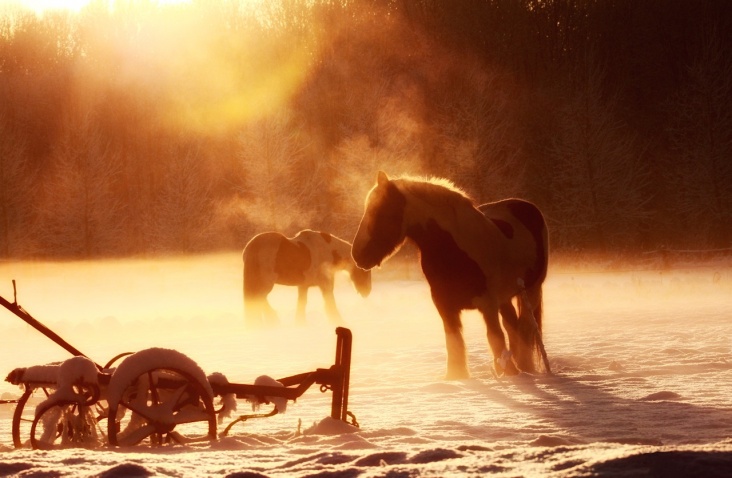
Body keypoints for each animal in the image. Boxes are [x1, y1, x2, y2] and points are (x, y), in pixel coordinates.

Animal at [243, 230, 372, 326]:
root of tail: (252, 247)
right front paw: (338, 321)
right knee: (258, 299)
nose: (367, 291)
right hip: (266, 283)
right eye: (365, 271)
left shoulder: (303, 286)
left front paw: (300, 323)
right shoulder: (326, 285)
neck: (329, 251)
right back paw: (271, 320)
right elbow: (330, 303)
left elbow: (302, 303)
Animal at [350, 170, 548, 380]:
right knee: (513, 326)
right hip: (505, 298)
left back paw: (525, 368)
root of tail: (525, 205)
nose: (358, 255)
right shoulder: (445, 306)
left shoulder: (487, 304)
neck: (454, 249)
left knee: (525, 329)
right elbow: (454, 342)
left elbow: (495, 338)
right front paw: (456, 377)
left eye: (381, 212)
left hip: (532, 291)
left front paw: (509, 373)